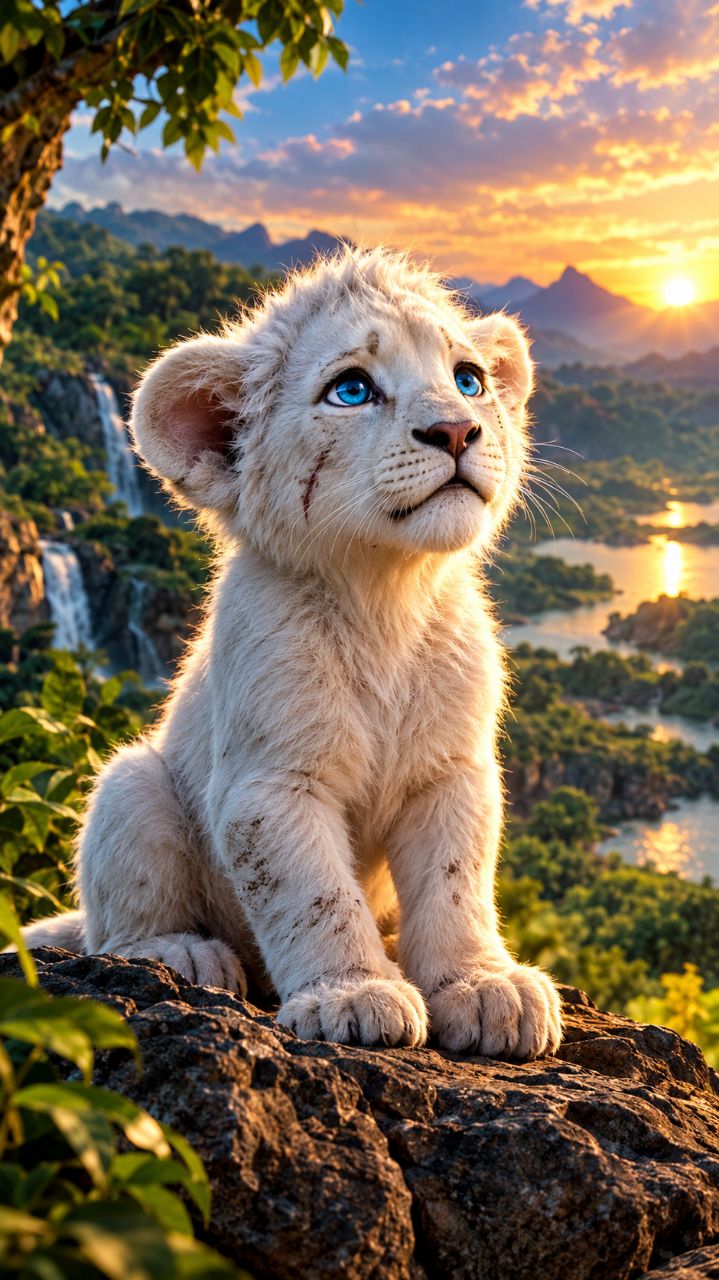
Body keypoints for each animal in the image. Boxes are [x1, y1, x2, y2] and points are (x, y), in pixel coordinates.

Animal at [21, 247, 562, 1057]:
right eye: (351, 389)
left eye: (468, 378)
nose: (457, 430)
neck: (385, 597)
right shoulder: (271, 781)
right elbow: (313, 894)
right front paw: (355, 995)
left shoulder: (451, 771)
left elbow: (456, 883)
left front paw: (485, 988)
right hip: (131, 785)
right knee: (112, 927)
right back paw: (183, 954)